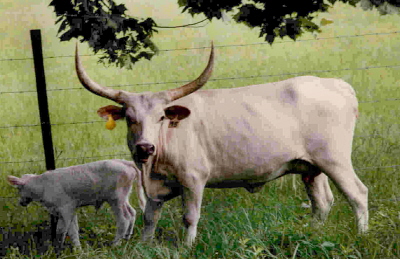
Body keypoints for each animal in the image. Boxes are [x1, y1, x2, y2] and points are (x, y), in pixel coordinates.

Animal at [7, 159, 146, 247]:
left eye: (18, 188)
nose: (21, 203)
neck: (43, 186)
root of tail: (124, 162)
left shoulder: (66, 207)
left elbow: (67, 230)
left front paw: (67, 249)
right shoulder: (69, 209)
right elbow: (66, 229)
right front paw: (65, 247)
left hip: (115, 198)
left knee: (124, 219)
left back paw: (115, 244)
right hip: (124, 197)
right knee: (132, 213)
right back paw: (127, 238)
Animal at [75, 43, 368, 247]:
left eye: (161, 117)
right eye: (130, 118)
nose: (145, 148)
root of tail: (338, 85)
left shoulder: (193, 180)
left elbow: (190, 217)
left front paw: (188, 247)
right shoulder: (156, 188)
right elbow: (150, 218)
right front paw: (143, 246)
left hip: (335, 161)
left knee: (357, 194)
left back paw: (361, 235)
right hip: (311, 167)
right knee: (322, 202)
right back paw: (313, 233)